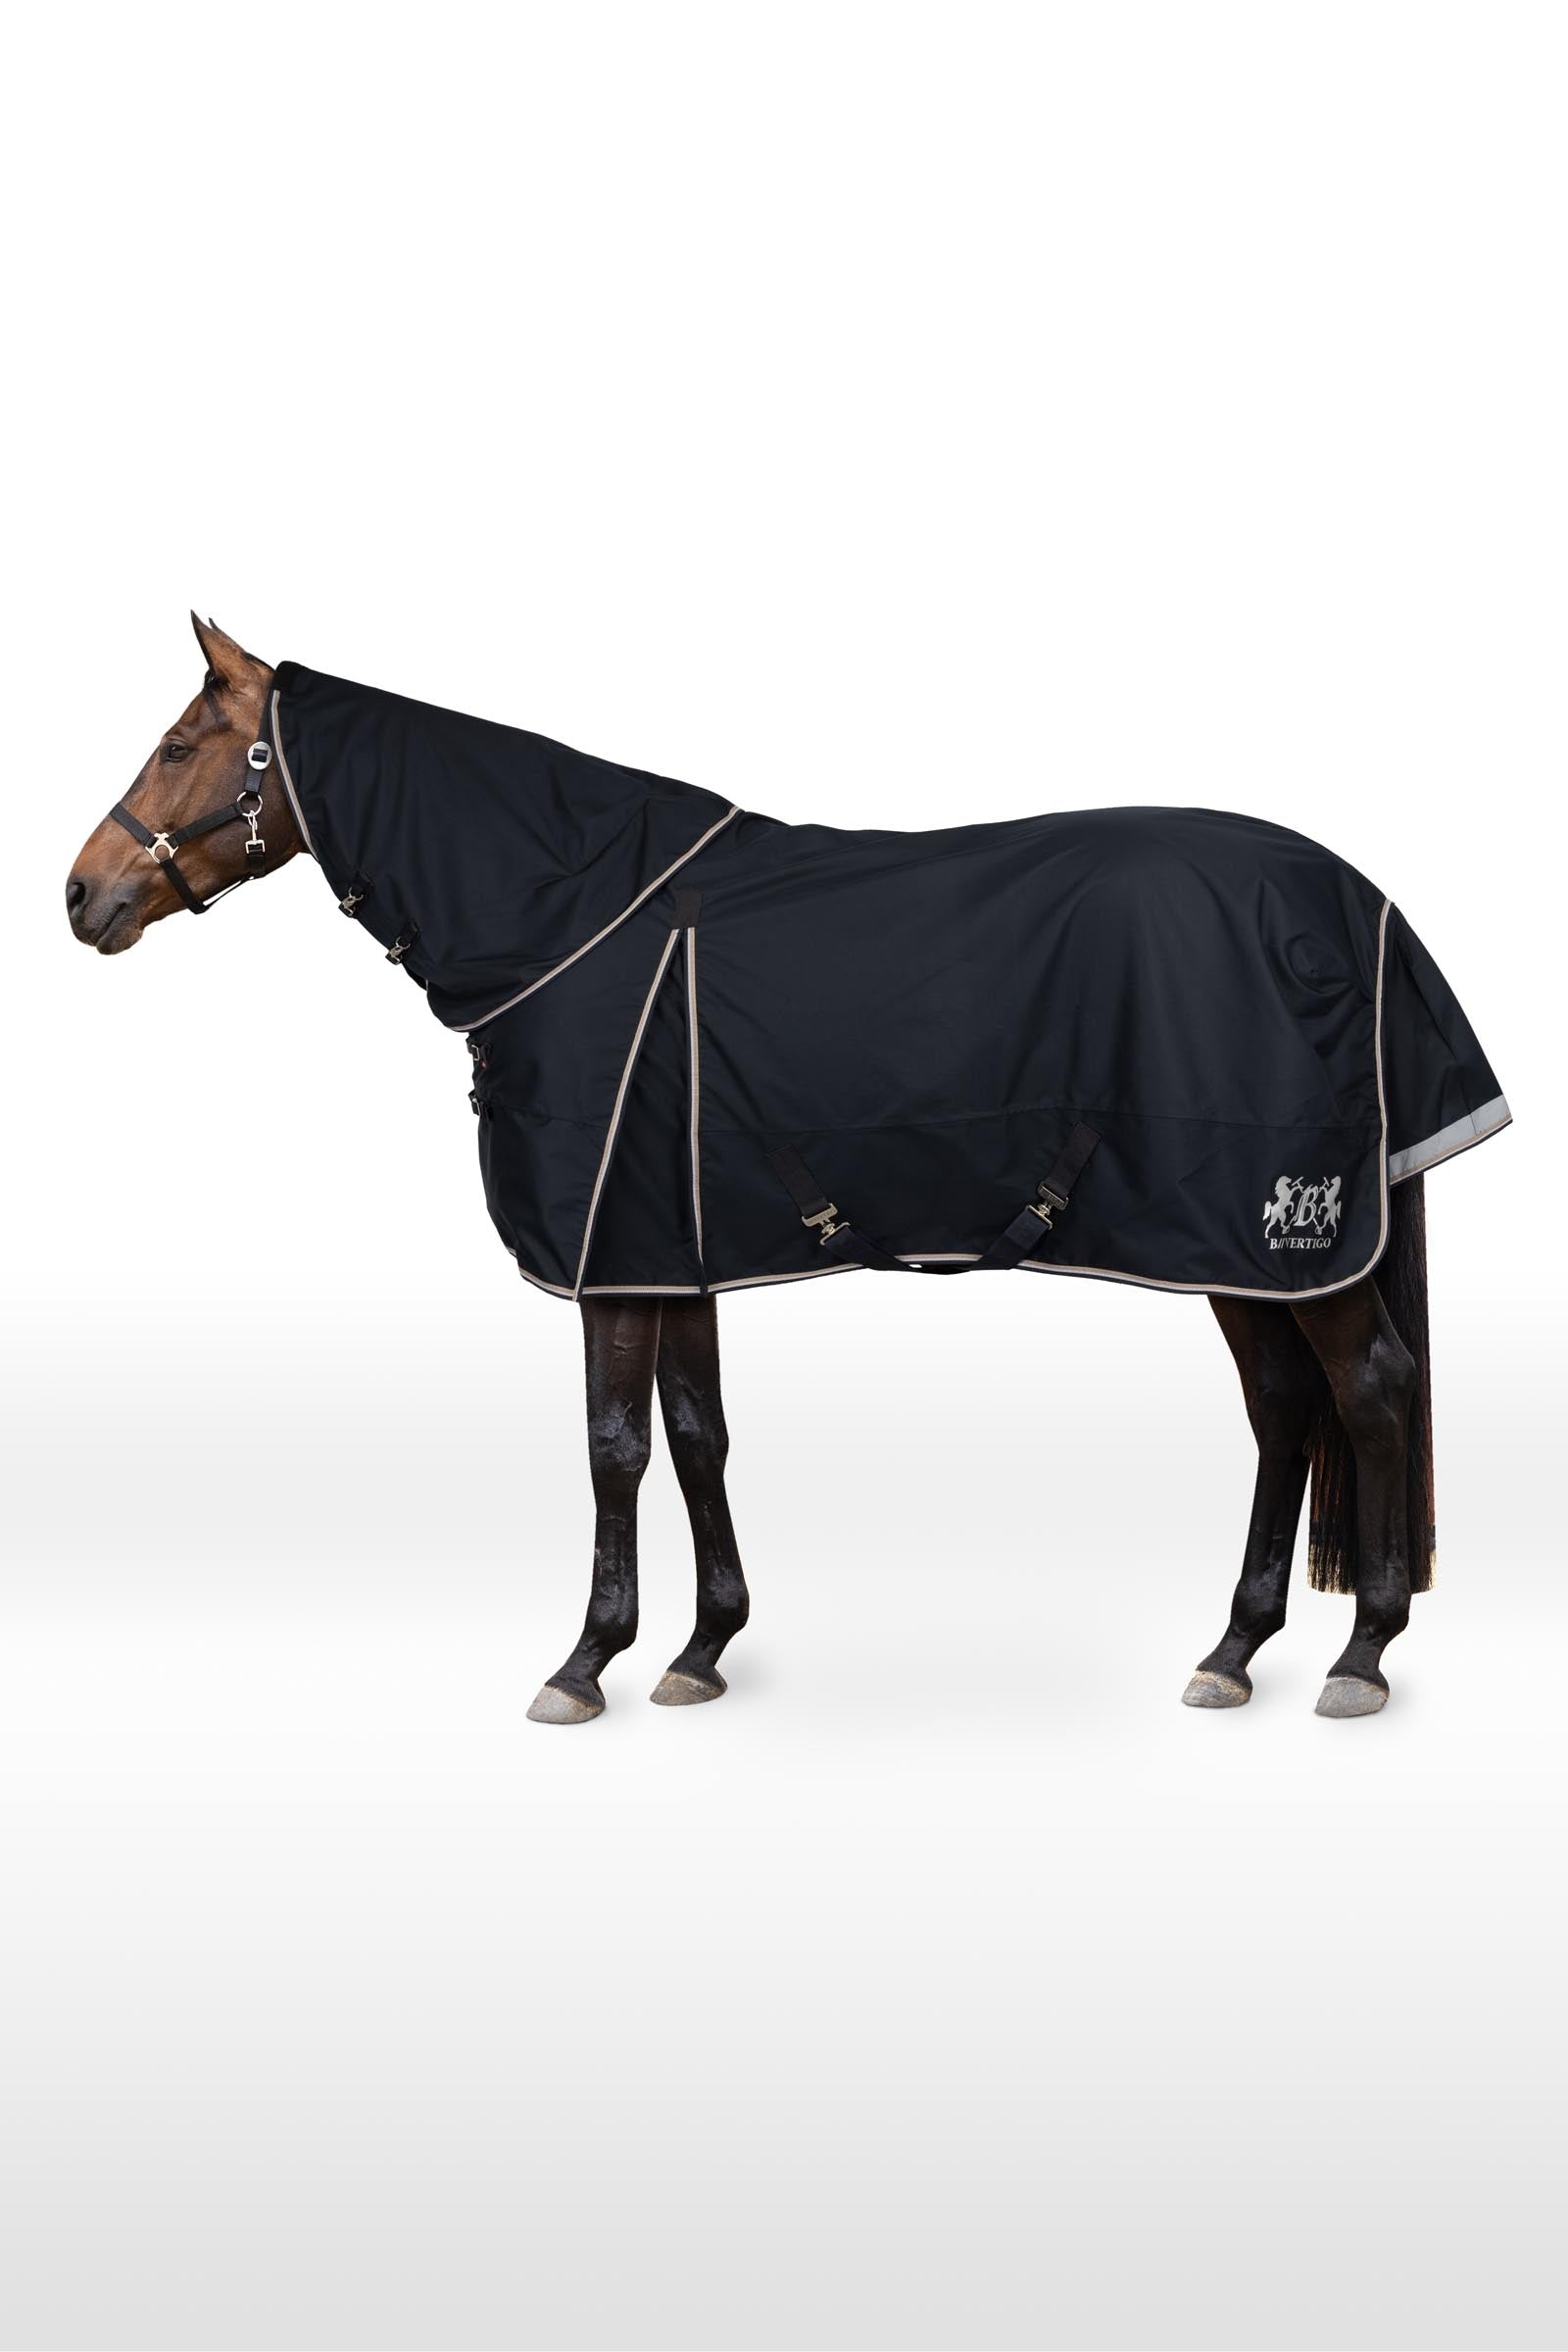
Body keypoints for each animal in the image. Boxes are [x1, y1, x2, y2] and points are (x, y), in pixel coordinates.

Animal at [66, 617, 1511, 1724]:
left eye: (183, 744)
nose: (81, 896)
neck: (574, 914)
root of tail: (1360, 905)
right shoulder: (668, 1244)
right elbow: (696, 1434)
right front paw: (702, 1651)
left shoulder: (609, 1262)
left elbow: (611, 1449)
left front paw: (584, 1664)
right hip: (1230, 1251)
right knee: (1284, 1407)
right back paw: (1234, 1650)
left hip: (1284, 1236)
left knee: (1369, 1392)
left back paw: (1362, 1654)